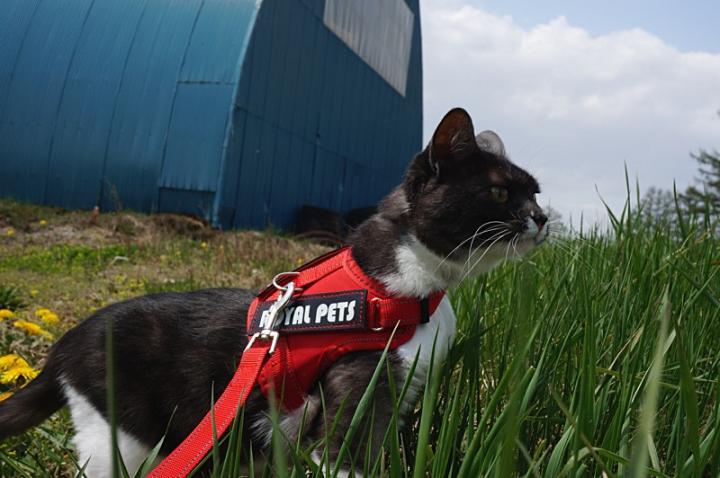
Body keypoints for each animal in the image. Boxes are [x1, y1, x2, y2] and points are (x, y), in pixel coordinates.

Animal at [0, 108, 547, 476]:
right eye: (500, 192)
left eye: (536, 192)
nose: (542, 218)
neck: (408, 290)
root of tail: (62, 349)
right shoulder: (357, 387)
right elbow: (345, 451)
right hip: (120, 433)